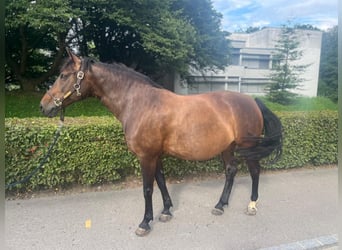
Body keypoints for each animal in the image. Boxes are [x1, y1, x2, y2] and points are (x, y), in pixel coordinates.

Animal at [40, 49, 282, 236]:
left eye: (64, 75)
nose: (44, 106)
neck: (141, 103)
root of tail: (252, 100)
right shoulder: (155, 155)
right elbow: (161, 180)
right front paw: (166, 211)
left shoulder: (146, 156)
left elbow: (147, 188)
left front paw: (145, 223)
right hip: (227, 148)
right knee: (231, 171)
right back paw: (220, 205)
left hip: (248, 147)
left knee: (255, 172)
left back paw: (251, 205)